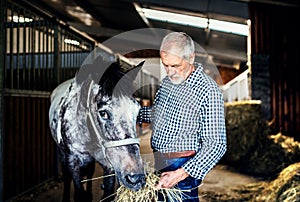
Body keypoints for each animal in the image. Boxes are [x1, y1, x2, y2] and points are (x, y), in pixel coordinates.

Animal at [48, 47, 146, 202]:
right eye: (103, 113)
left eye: (137, 111)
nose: (135, 178)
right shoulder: (72, 161)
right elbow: (78, 192)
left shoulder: (109, 164)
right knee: (66, 176)